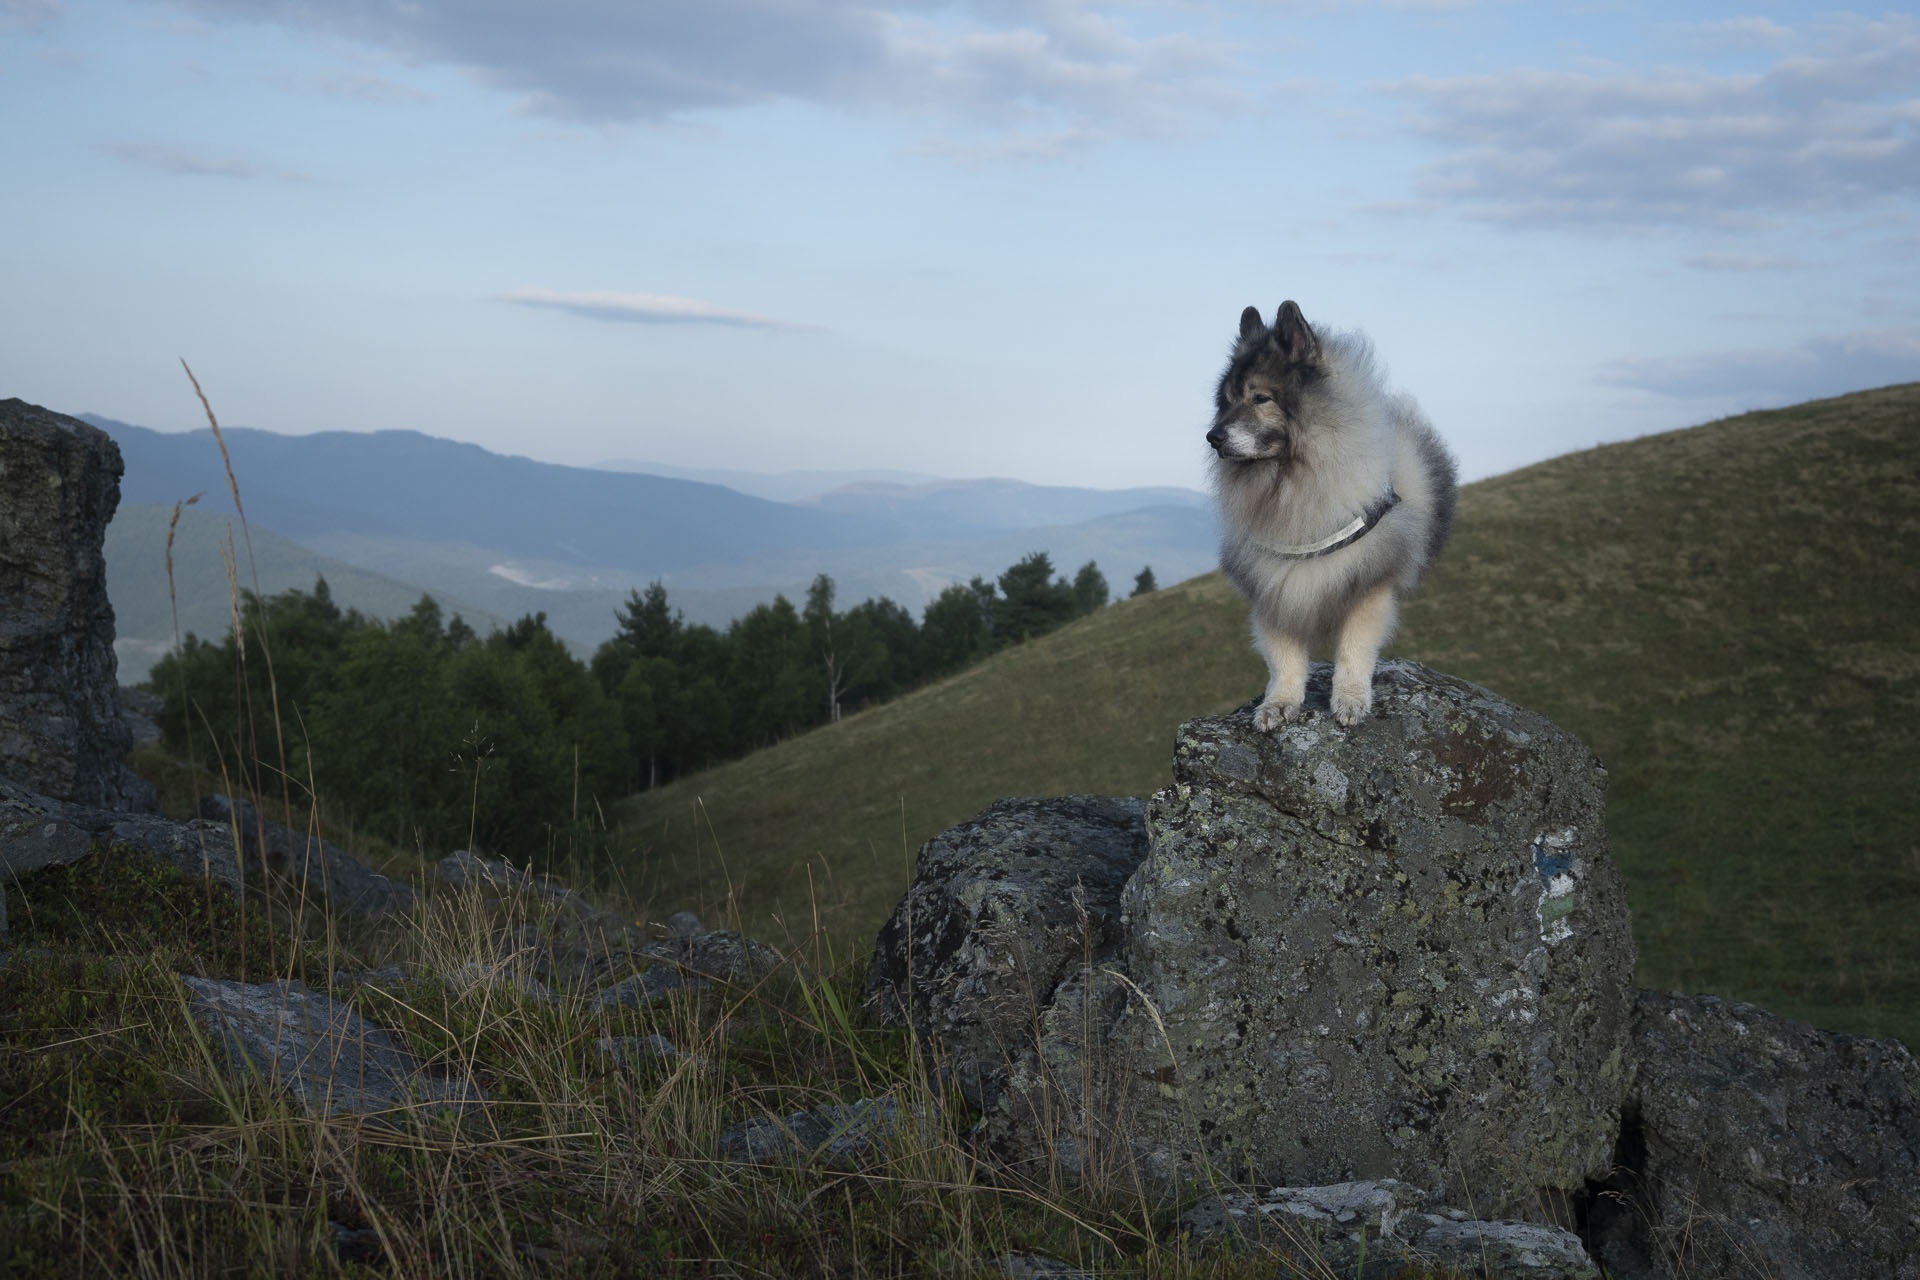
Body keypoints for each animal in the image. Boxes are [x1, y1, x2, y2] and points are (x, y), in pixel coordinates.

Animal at [1205, 293, 1459, 725]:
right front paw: (1279, 703)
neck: (1293, 485)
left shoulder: (1369, 586)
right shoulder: (1275, 590)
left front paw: (1350, 699)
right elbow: (1285, 659)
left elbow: (1353, 651)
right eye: (1227, 402)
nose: (1213, 437)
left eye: (1260, 398)